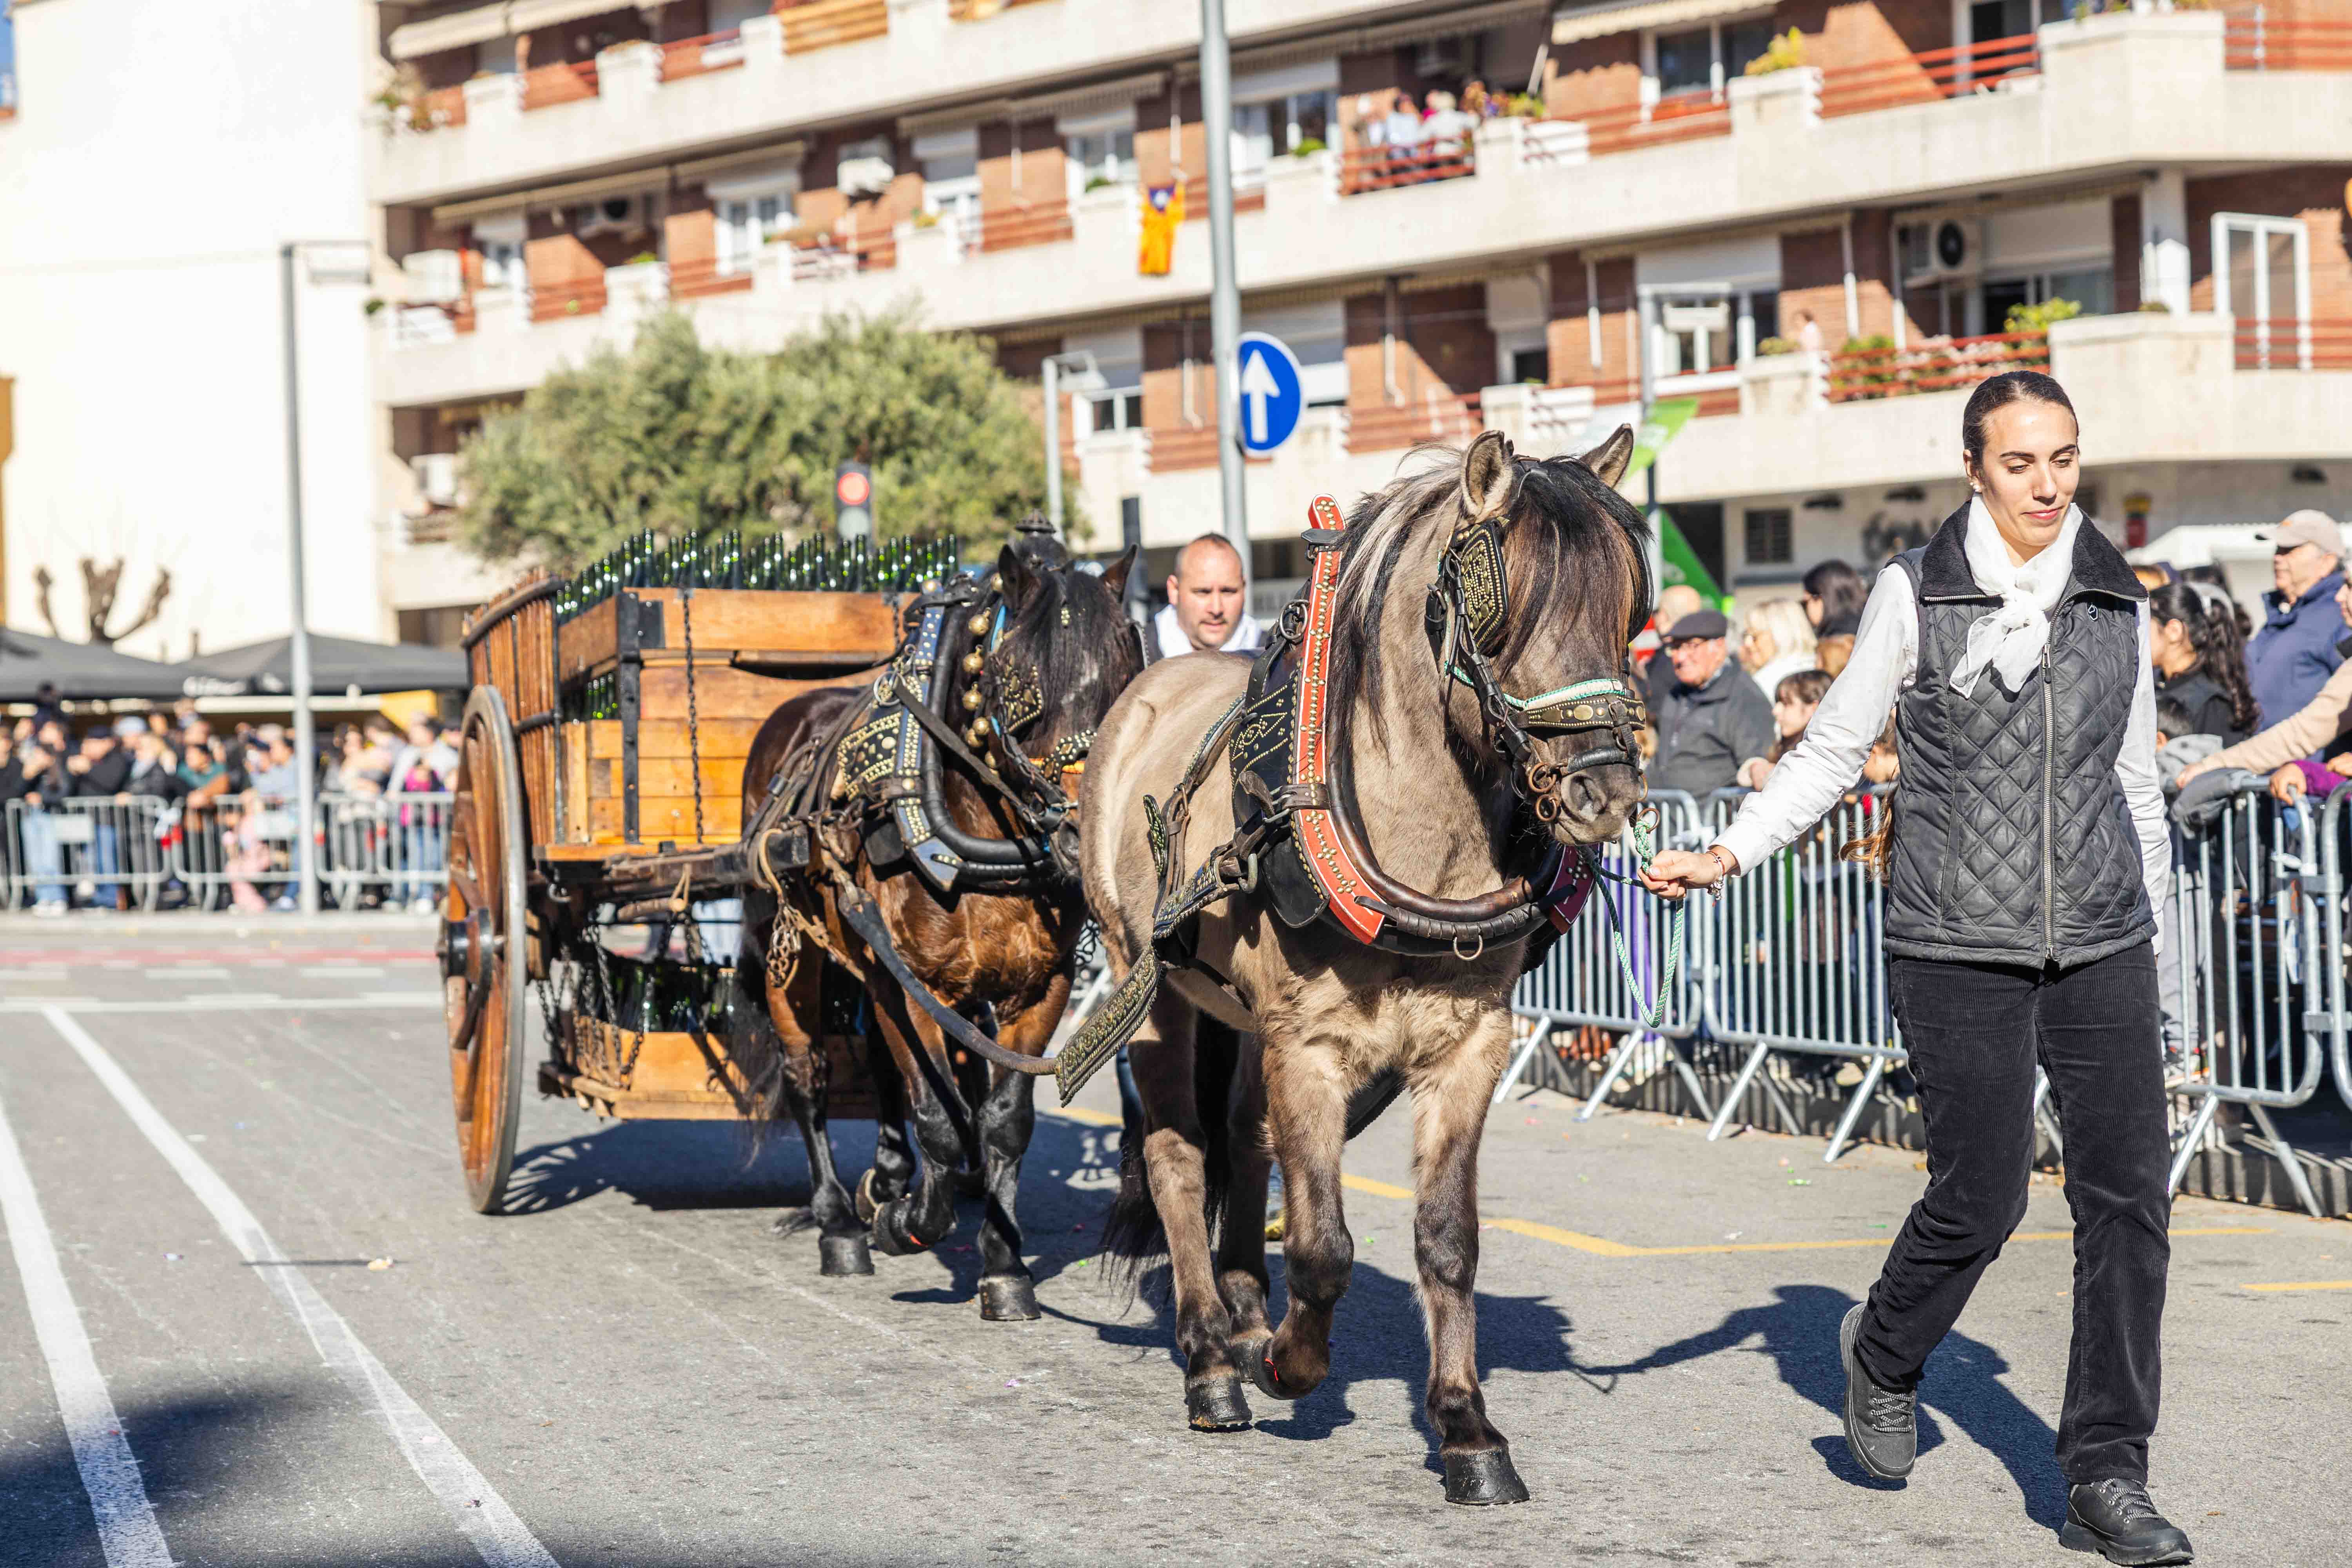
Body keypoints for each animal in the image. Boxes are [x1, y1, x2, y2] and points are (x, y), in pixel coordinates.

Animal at [734, 534, 1138, 1316]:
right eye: (1020, 688)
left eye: (1126, 679)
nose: (1086, 837)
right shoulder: (915, 983)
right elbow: (943, 1124)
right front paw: (905, 1222)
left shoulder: (1041, 986)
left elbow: (1003, 1119)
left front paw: (1005, 1268)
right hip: (788, 952)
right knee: (809, 1074)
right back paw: (841, 1222)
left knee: (885, 1065)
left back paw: (889, 1175)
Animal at [1077, 430, 1646, 1504]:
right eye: (1505, 607)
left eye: (1628, 607)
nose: (1607, 791)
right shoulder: (1310, 1045)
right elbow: (1325, 1245)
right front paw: (1289, 1364)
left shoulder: (1468, 1047)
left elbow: (1448, 1239)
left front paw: (1466, 1426)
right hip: (1156, 991)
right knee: (1179, 1155)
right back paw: (1213, 1357)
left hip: (1243, 1021)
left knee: (1243, 1140)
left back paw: (1243, 1307)